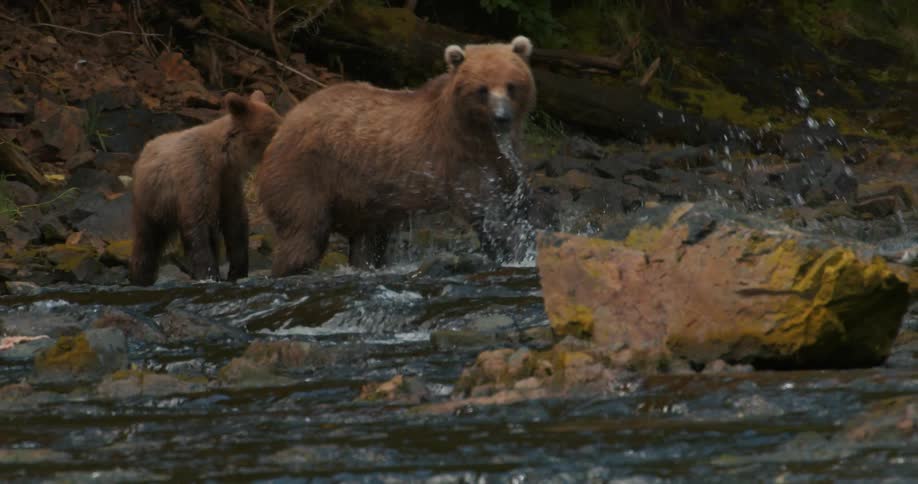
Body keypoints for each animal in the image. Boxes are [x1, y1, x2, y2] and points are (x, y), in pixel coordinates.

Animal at [129, 90, 281, 286]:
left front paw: (237, 271)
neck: (222, 158)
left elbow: (235, 222)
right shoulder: (197, 175)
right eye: (274, 128)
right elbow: (197, 225)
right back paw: (140, 276)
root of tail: (145, 149)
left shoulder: (227, 183)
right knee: (147, 239)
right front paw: (209, 274)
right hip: (151, 200)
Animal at [256, 36, 537, 277]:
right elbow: (483, 209)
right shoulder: (458, 157)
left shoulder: (503, 156)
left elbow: (513, 199)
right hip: (306, 172)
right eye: (482, 89)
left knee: (369, 242)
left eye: (511, 86)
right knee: (303, 233)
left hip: (361, 199)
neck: (480, 132)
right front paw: (506, 250)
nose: (502, 117)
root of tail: (286, 121)